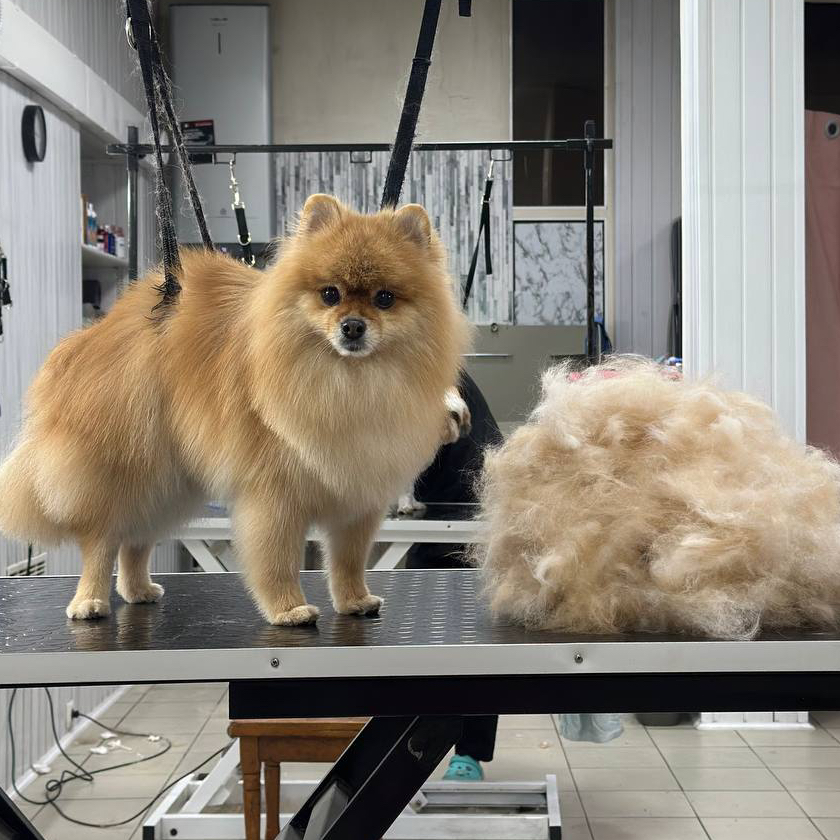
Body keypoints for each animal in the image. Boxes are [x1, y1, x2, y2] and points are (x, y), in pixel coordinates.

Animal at [0, 195, 472, 625]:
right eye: (330, 294)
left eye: (385, 298)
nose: (352, 326)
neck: (347, 383)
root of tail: (103, 330)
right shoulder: (274, 495)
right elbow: (277, 561)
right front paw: (289, 609)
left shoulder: (357, 496)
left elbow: (348, 561)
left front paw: (355, 600)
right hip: (127, 469)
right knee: (101, 541)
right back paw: (90, 601)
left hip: (166, 481)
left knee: (136, 540)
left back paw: (139, 590)